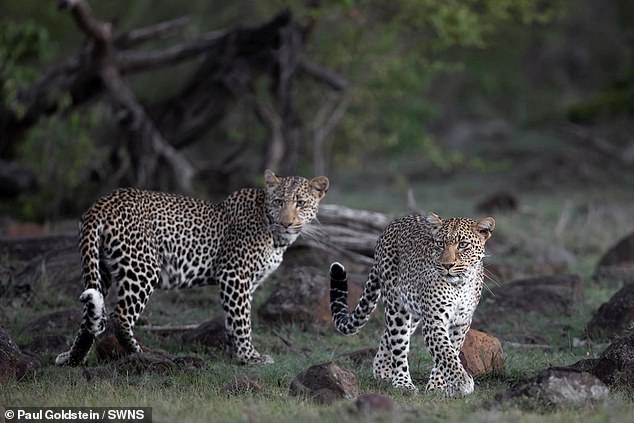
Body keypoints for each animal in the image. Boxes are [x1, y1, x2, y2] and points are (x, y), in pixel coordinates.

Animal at [55, 171, 328, 366]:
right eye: (279, 201)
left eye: (301, 203)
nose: (287, 222)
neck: (275, 235)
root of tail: (101, 203)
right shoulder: (235, 275)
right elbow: (242, 320)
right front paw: (250, 357)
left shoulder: (245, 284)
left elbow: (233, 319)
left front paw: (235, 354)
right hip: (142, 267)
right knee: (119, 315)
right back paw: (140, 353)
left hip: (98, 268)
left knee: (89, 316)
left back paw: (72, 358)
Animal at [326, 214, 494, 400]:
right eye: (440, 244)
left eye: (463, 244)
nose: (447, 265)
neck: (460, 284)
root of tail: (391, 225)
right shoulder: (434, 321)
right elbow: (445, 352)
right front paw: (461, 382)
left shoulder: (461, 324)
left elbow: (450, 351)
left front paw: (439, 386)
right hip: (397, 307)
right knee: (398, 344)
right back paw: (402, 383)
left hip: (412, 311)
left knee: (387, 337)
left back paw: (382, 370)